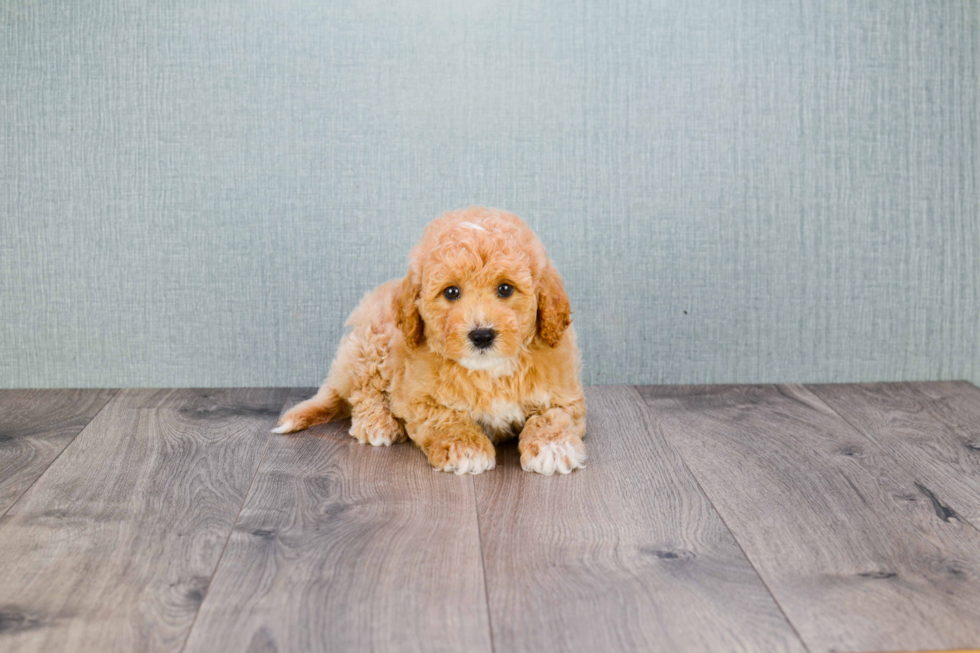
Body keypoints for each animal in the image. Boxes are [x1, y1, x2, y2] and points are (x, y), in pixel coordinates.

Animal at [272, 205, 584, 474]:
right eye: (451, 292)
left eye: (505, 289)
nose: (481, 335)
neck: (488, 371)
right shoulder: (417, 397)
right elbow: (447, 418)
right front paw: (465, 449)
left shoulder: (563, 393)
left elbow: (552, 416)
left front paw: (553, 447)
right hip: (370, 341)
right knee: (364, 390)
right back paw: (378, 424)